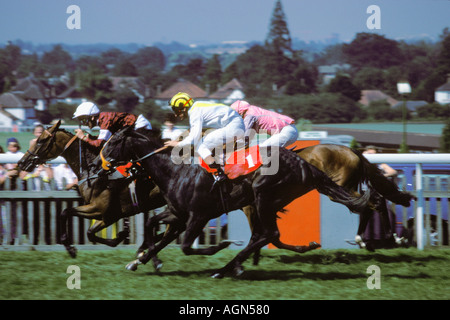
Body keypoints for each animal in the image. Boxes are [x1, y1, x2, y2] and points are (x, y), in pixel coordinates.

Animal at [17, 120, 169, 258]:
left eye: (40, 140)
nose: (21, 162)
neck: (92, 171)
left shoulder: (102, 210)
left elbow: (66, 213)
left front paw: (70, 248)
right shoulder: (105, 215)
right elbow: (88, 232)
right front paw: (120, 236)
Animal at [100, 127, 370, 278]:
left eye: (113, 142)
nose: (99, 165)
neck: (176, 172)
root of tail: (306, 165)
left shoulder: (198, 216)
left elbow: (186, 246)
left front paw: (219, 246)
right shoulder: (178, 214)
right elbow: (153, 227)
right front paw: (140, 260)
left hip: (264, 195)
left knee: (268, 233)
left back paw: (224, 269)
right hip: (268, 201)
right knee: (266, 235)